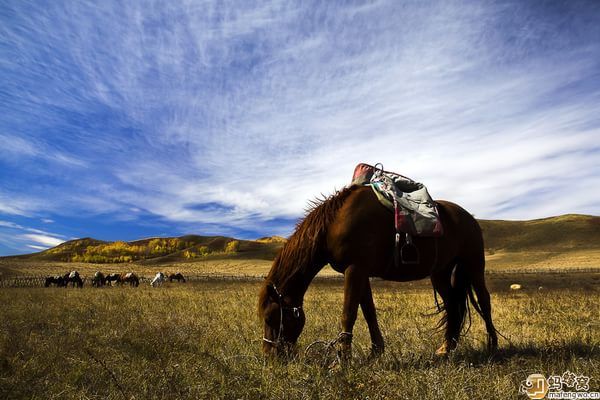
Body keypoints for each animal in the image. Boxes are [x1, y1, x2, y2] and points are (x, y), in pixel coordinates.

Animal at [258, 185, 496, 360]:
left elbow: (349, 313)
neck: (333, 224)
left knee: (484, 301)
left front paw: (342, 360)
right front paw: (376, 351)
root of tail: (469, 217)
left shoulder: (354, 269)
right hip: (440, 273)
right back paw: (446, 349)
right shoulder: (359, 271)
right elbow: (368, 311)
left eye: (271, 318)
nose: (269, 356)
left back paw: (492, 346)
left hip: (474, 265)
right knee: (453, 306)